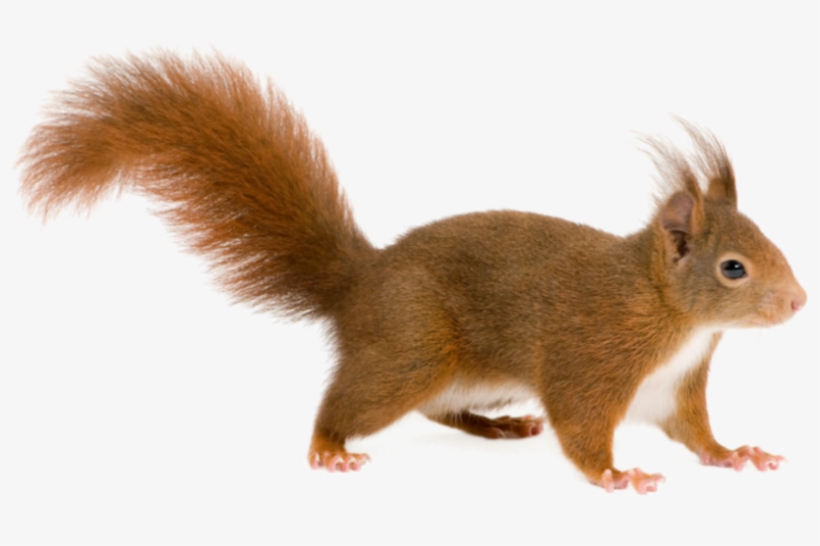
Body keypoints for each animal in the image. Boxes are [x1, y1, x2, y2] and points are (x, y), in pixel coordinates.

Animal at [18, 51, 806, 493]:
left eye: (768, 239)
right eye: (733, 268)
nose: (800, 302)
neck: (673, 318)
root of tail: (359, 282)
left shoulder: (675, 388)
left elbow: (695, 434)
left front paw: (735, 454)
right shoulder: (592, 357)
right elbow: (582, 429)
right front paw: (618, 475)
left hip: (460, 373)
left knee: (440, 410)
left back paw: (497, 428)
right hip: (409, 352)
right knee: (348, 405)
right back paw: (330, 449)